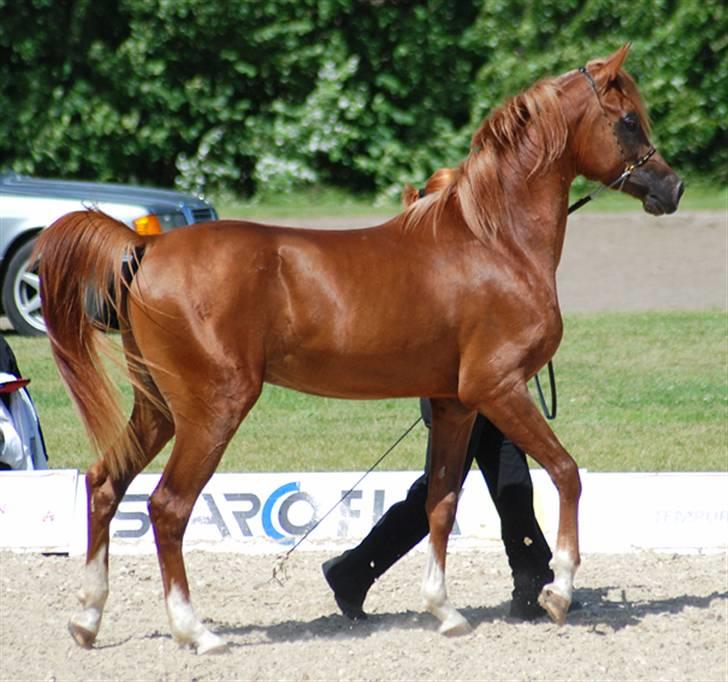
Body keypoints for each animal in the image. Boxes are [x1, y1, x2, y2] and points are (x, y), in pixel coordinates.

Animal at [34, 45, 684, 652]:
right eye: (628, 119)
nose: (672, 187)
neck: (494, 242)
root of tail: (147, 250)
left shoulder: (455, 404)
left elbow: (441, 502)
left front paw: (445, 612)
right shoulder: (498, 388)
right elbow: (566, 473)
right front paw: (558, 592)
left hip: (159, 408)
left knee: (106, 484)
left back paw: (87, 620)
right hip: (212, 410)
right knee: (168, 508)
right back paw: (197, 632)